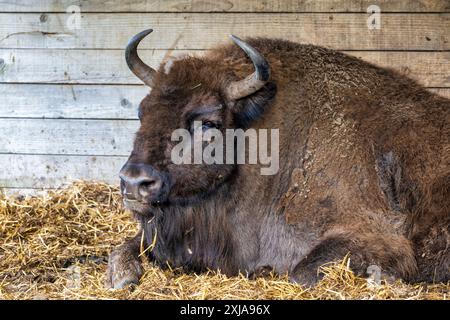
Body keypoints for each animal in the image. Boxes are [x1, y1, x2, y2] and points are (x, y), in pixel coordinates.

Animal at [104, 29, 446, 290]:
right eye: (142, 112)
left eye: (208, 123)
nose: (133, 182)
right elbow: (123, 249)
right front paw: (121, 276)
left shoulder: (372, 232)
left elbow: (301, 273)